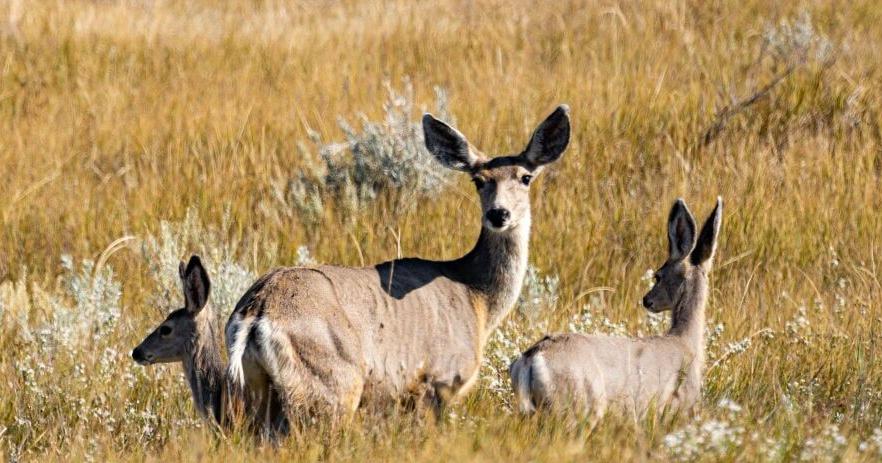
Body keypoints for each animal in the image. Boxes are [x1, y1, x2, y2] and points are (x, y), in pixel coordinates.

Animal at [224, 105, 571, 426]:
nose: (499, 214)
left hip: (257, 392)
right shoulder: (438, 379)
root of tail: (257, 311)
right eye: (478, 180)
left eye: (525, 177)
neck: (476, 296)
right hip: (332, 380)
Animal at [509, 197, 722, 426]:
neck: (685, 341)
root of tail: (531, 357)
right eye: (657, 274)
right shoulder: (677, 407)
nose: (647, 300)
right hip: (576, 404)